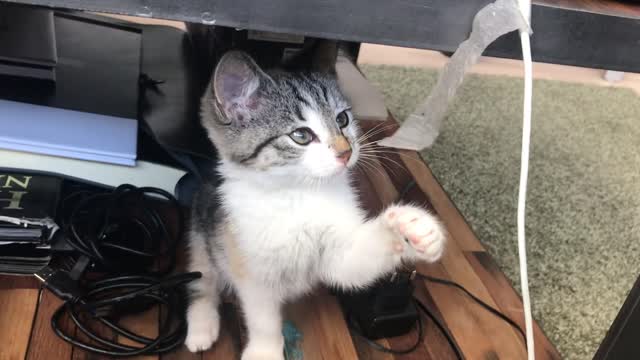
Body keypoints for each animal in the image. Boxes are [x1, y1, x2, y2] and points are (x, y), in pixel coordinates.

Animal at [184, 47, 444, 360]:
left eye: (342, 119)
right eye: (301, 136)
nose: (346, 152)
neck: (300, 192)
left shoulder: (338, 255)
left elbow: (352, 265)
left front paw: (412, 229)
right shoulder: (250, 263)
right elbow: (262, 318)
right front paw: (264, 351)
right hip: (202, 233)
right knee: (201, 279)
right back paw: (201, 327)